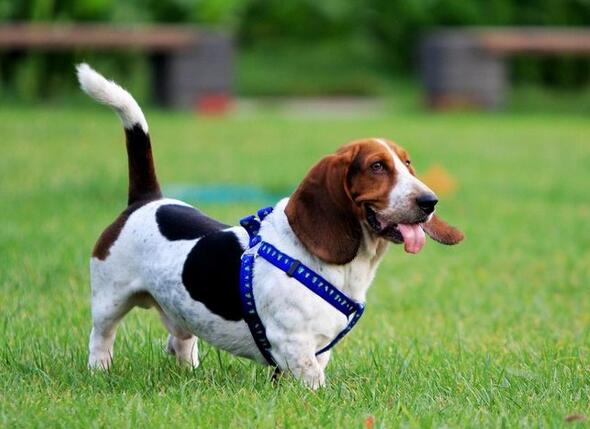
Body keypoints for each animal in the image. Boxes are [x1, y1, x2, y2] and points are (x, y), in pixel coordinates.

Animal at [77, 63, 463, 388]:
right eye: (377, 166)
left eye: (407, 163)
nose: (430, 201)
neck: (350, 266)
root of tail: (146, 199)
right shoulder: (294, 345)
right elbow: (314, 382)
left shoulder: (320, 348)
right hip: (110, 299)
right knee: (101, 337)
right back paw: (100, 371)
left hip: (179, 310)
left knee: (181, 340)